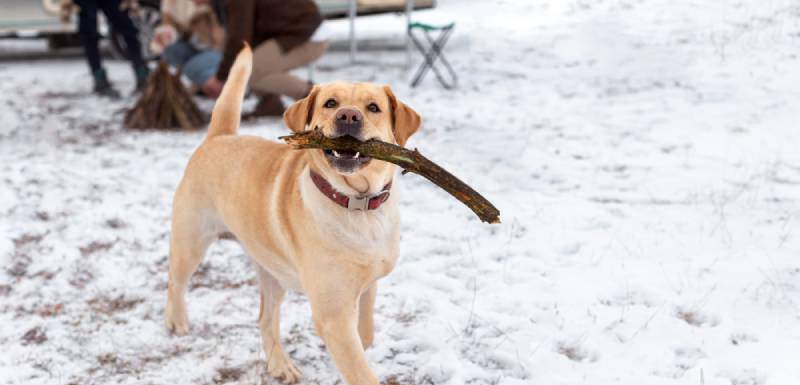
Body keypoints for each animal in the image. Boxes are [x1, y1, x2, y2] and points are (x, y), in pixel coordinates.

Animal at [166, 45, 422, 384]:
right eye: (330, 103)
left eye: (373, 107)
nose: (348, 116)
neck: (357, 204)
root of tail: (219, 137)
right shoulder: (332, 315)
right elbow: (361, 371)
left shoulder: (367, 285)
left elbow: (365, 332)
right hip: (191, 241)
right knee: (175, 281)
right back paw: (176, 320)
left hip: (271, 270)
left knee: (265, 319)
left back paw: (280, 365)